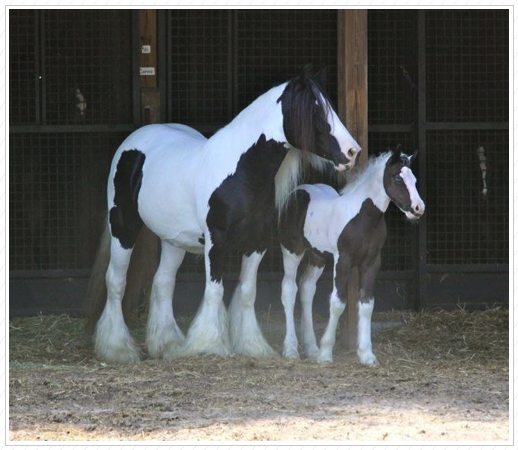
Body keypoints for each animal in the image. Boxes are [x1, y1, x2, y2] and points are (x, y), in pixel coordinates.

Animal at [85, 68, 362, 364]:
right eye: (315, 109)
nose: (352, 152)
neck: (240, 173)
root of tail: (135, 139)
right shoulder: (214, 244)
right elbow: (214, 291)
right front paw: (210, 345)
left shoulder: (257, 243)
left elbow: (248, 292)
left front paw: (252, 346)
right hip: (123, 225)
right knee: (116, 281)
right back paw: (117, 349)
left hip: (173, 239)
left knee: (163, 282)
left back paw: (168, 346)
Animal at [278, 149, 424, 366]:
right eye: (398, 178)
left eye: (414, 179)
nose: (418, 208)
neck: (362, 218)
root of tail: (296, 192)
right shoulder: (343, 260)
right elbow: (337, 303)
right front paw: (326, 353)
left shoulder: (372, 263)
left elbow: (367, 305)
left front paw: (366, 354)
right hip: (292, 251)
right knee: (289, 290)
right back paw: (291, 349)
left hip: (317, 257)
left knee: (306, 289)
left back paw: (311, 348)